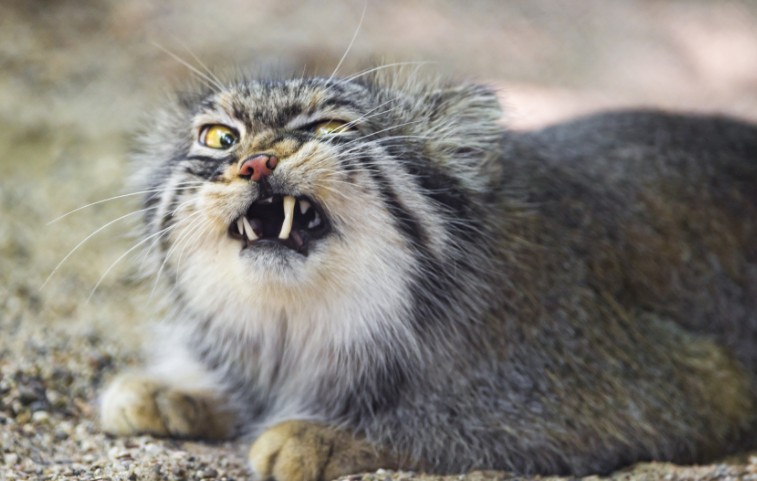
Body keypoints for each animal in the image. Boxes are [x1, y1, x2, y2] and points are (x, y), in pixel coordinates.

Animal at [99, 72, 756, 480]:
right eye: (219, 137)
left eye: (330, 128)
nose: (255, 162)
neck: (306, 326)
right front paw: (177, 388)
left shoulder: (680, 381)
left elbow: (472, 418)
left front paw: (326, 434)